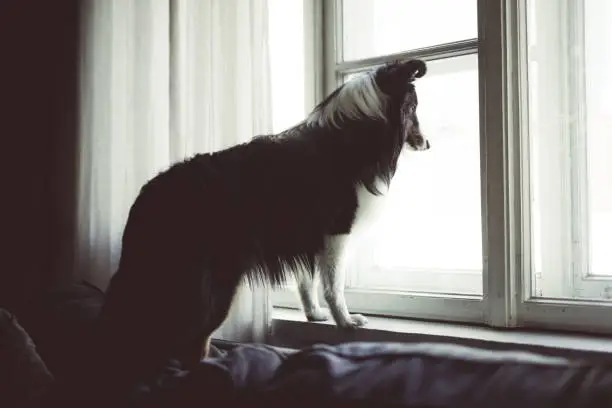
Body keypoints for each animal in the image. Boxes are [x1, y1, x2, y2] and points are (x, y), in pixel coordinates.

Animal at [92, 57, 430, 396]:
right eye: (414, 108)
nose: (427, 144)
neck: (357, 130)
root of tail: (147, 197)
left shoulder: (310, 238)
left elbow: (307, 282)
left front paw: (314, 314)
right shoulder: (337, 232)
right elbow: (333, 286)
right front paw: (345, 322)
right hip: (213, 291)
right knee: (191, 345)